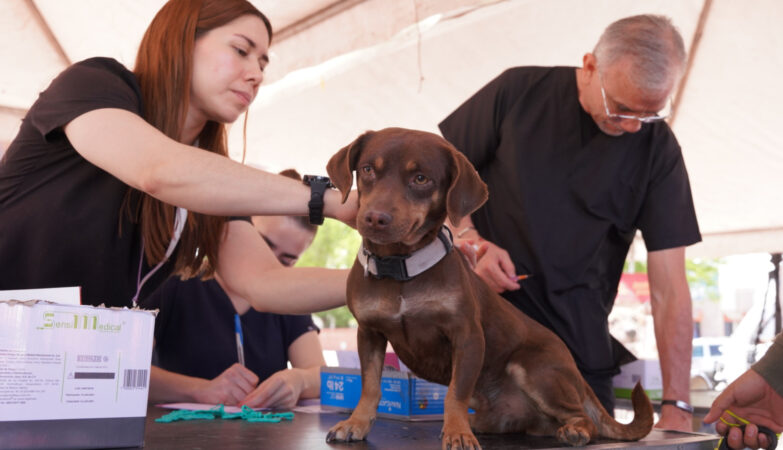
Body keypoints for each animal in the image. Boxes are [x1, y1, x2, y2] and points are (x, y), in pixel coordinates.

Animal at [322, 128, 652, 448]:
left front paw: (457, 432)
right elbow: (370, 387)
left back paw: (575, 430)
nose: (375, 218)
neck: (401, 268)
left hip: (535, 368)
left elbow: (455, 394)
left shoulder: (467, 337)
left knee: (581, 416)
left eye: (421, 179)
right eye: (367, 169)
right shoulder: (369, 333)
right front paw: (355, 424)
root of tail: (577, 375)